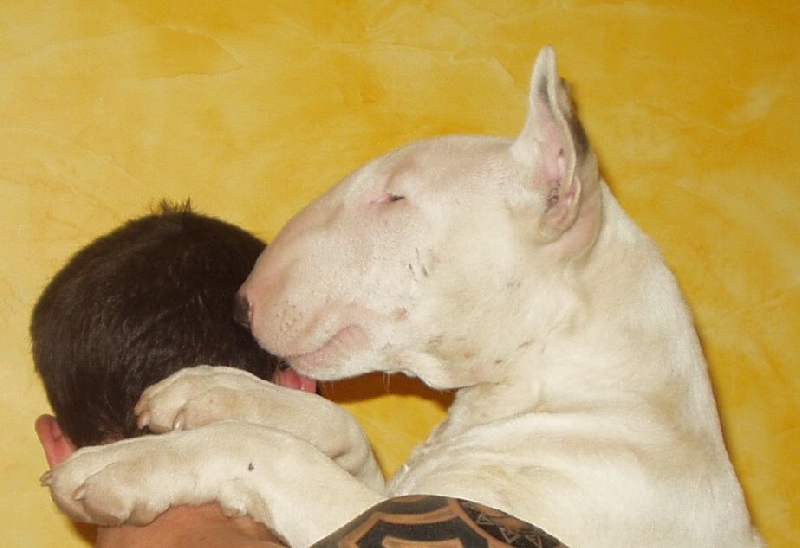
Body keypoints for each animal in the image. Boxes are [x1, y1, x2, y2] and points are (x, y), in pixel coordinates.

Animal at [45, 47, 762, 547]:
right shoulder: (402, 493)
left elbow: (270, 454)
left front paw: (116, 467)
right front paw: (208, 392)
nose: (242, 303)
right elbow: (340, 427)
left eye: (394, 196)